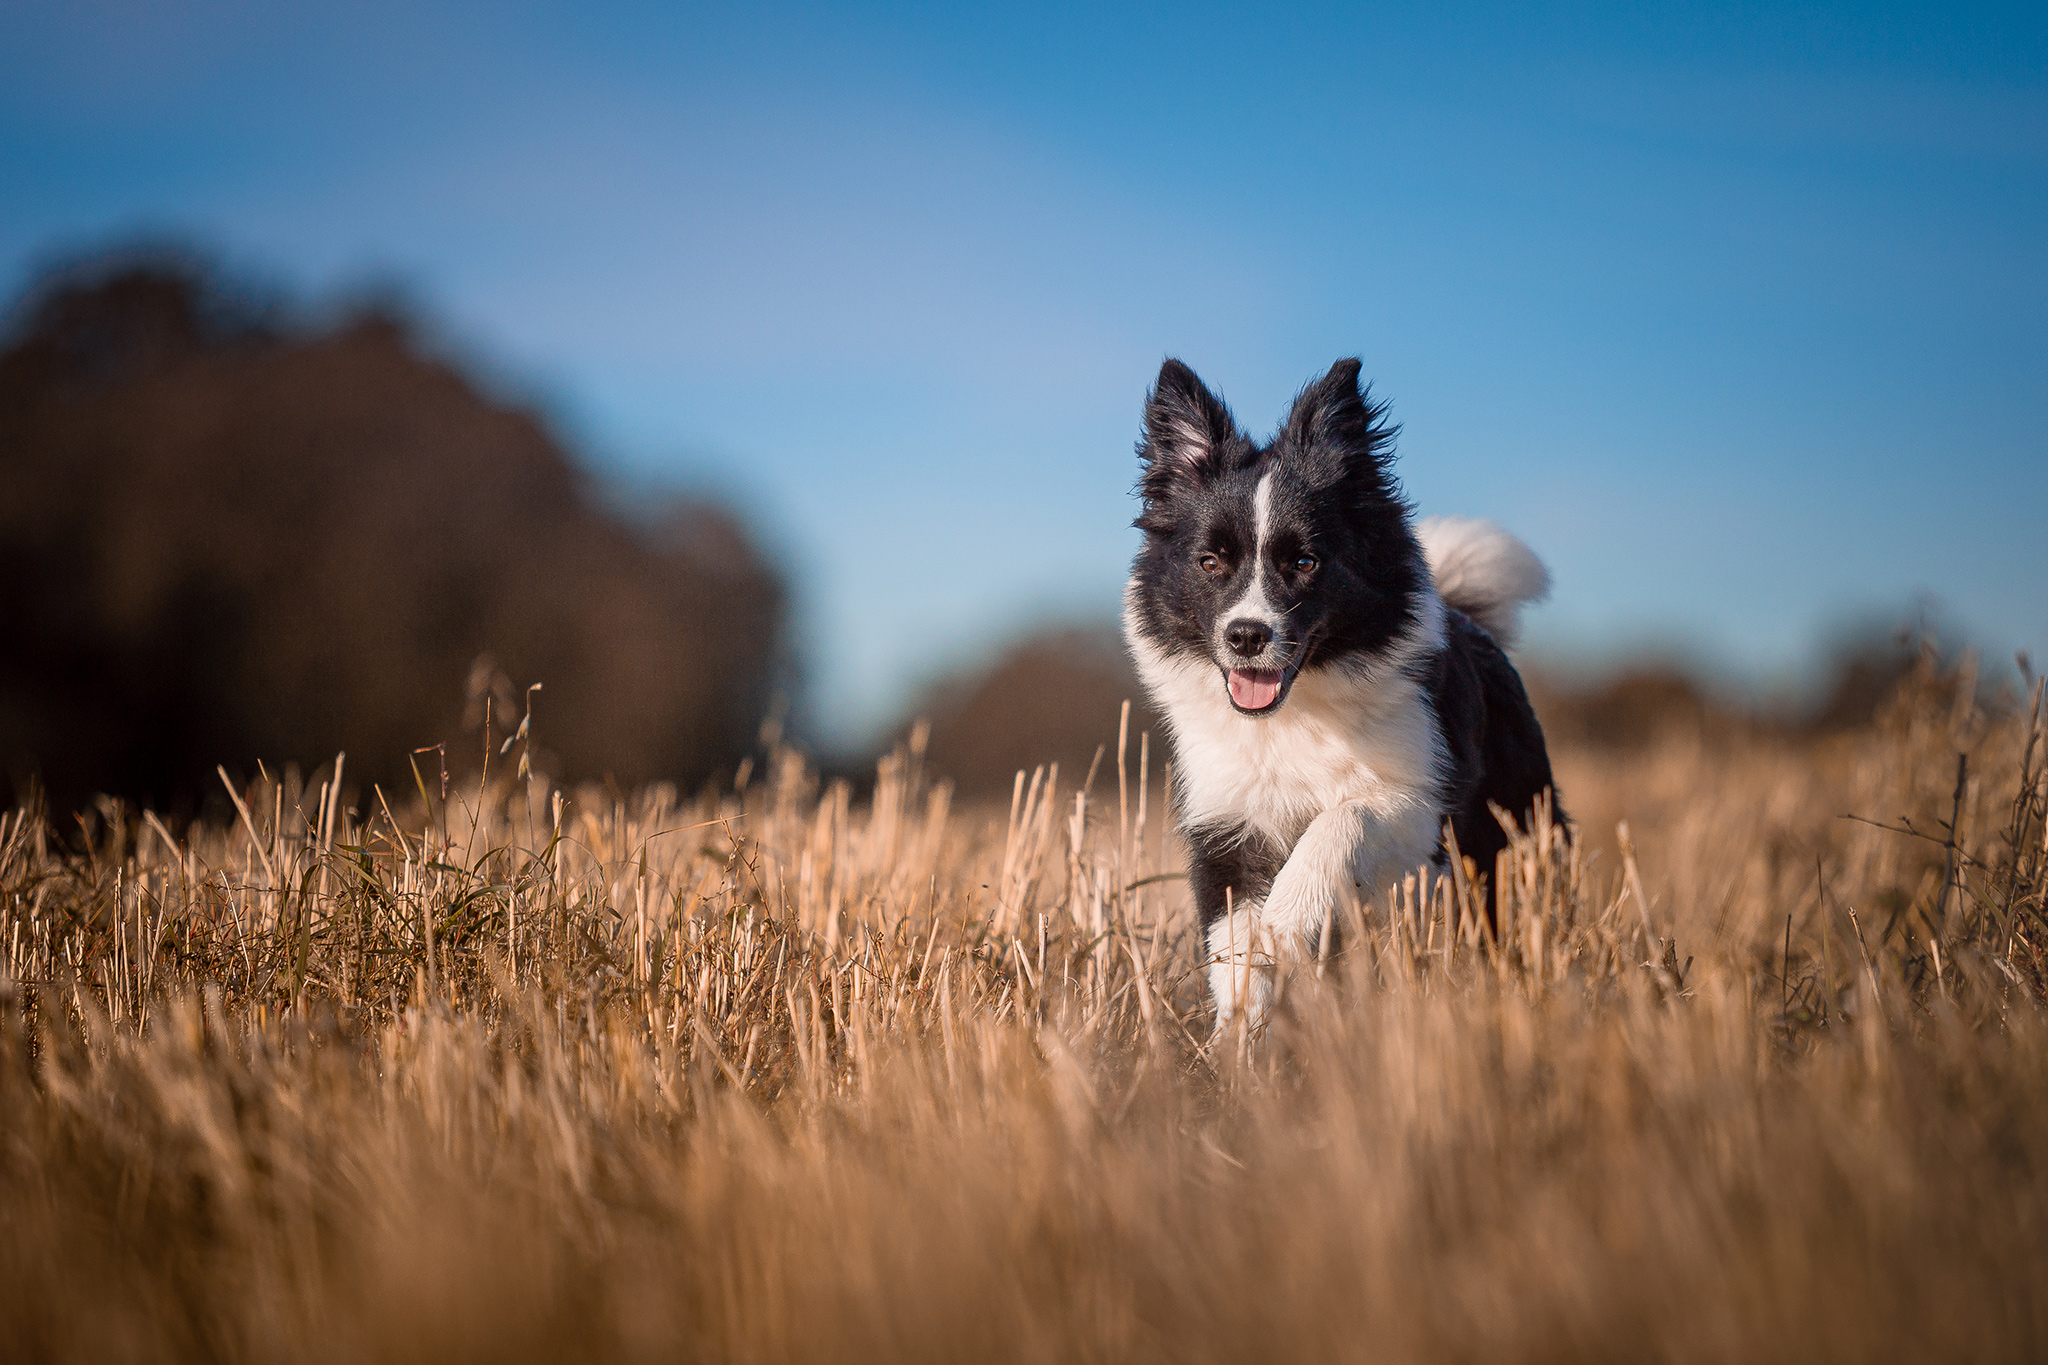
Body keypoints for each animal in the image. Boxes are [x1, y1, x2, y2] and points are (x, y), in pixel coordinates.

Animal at [1130, 358, 1556, 1031]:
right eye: (1210, 562)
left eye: (1304, 562)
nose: (1246, 635)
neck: (1295, 711)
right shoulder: (1226, 824)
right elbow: (1234, 944)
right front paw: (1238, 1042)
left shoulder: (1421, 799)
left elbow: (1343, 818)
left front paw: (1288, 917)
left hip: (1514, 819)